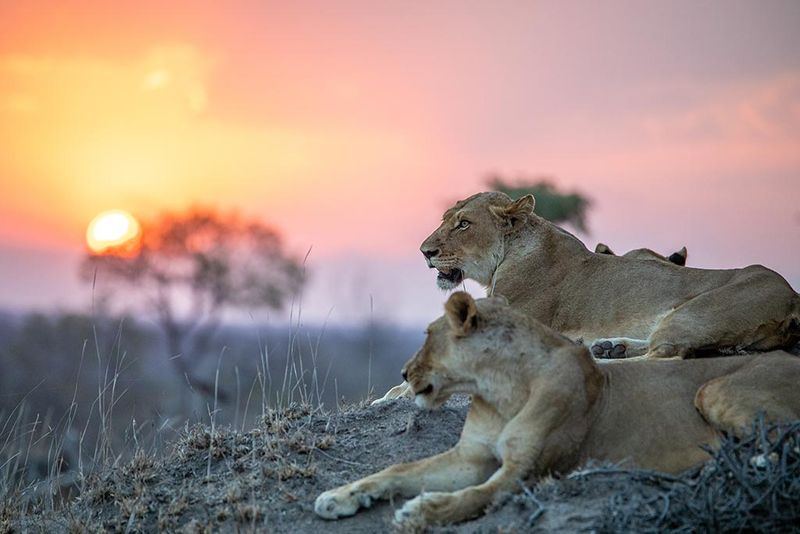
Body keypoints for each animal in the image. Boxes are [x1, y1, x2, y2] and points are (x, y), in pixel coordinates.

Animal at [319, 292, 800, 527]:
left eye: (427, 336)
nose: (402, 372)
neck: (500, 388)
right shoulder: (470, 456)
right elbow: (400, 470)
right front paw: (340, 497)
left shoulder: (525, 473)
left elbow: (475, 497)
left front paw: (419, 512)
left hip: (714, 390)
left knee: (785, 443)